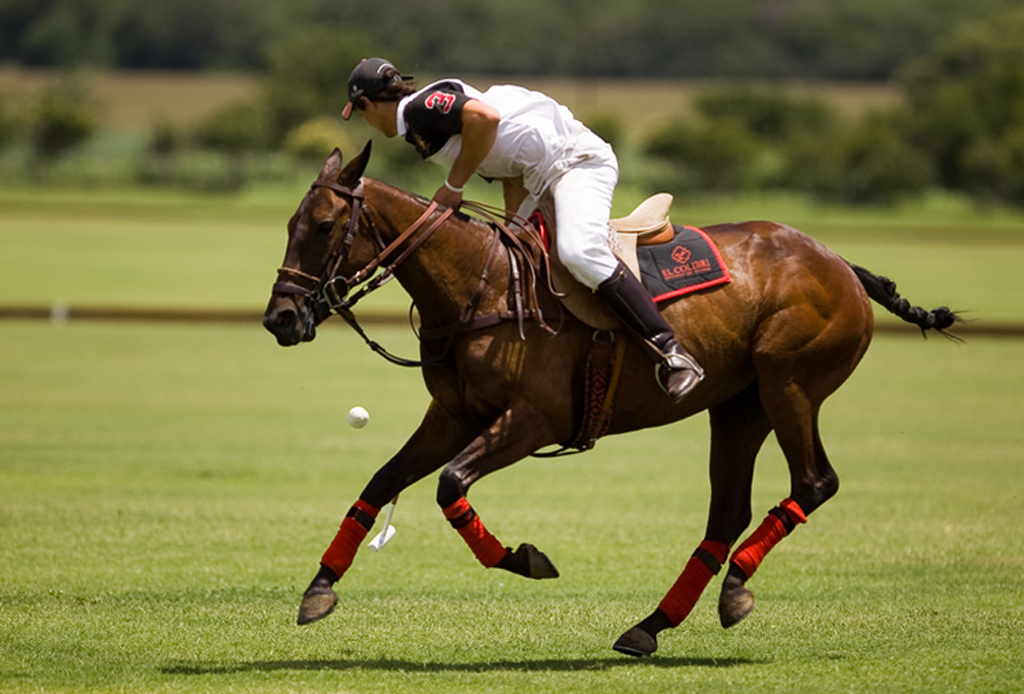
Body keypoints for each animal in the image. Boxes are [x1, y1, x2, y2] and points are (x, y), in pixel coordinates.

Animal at [260, 145, 954, 659]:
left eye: (324, 226)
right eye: (290, 226)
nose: (280, 319)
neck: (482, 287)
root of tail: (840, 262)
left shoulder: (534, 420)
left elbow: (450, 483)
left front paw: (523, 559)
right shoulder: (454, 415)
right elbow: (382, 480)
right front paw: (319, 588)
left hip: (790, 385)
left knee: (814, 482)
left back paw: (731, 587)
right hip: (738, 405)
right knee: (727, 512)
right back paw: (654, 624)